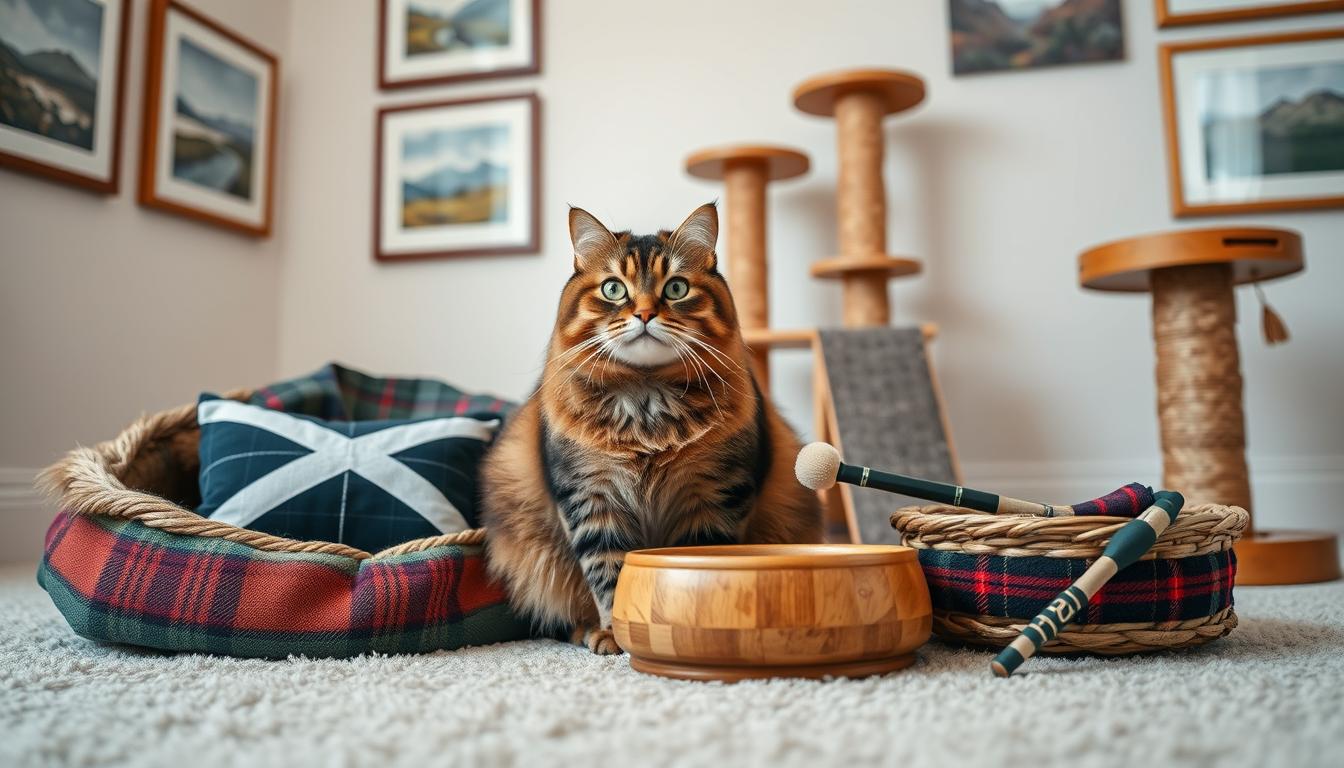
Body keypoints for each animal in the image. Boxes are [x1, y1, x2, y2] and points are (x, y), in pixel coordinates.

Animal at [478, 201, 822, 650]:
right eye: (613, 289)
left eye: (676, 288)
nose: (644, 314)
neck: (645, 401)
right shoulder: (592, 498)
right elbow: (609, 574)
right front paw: (615, 633)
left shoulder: (714, 494)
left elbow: (696, 564)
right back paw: (587, 631)